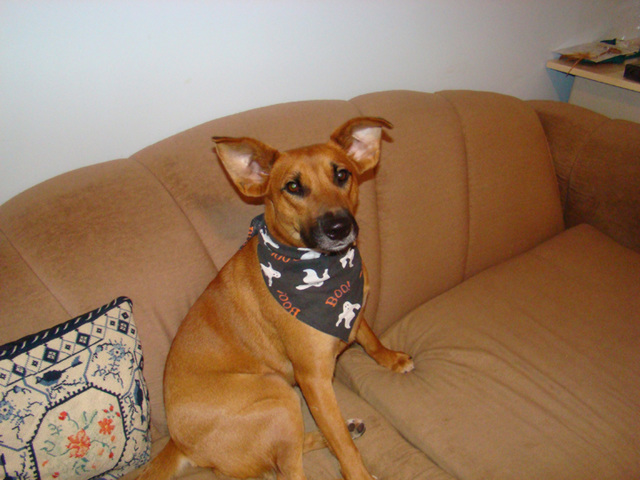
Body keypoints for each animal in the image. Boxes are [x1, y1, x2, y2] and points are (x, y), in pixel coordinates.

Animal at [138, 116, 412, 480]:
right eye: (293, 187)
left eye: (342, 175)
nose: (339, 227)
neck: (323, 269)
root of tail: (178, 443)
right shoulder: (313, 381)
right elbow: (343, 447)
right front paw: (358, 474)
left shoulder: (354, 314)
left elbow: (368, 337)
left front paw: (390, 358)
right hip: (278, 393)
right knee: (291, 469)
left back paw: (341, 428)